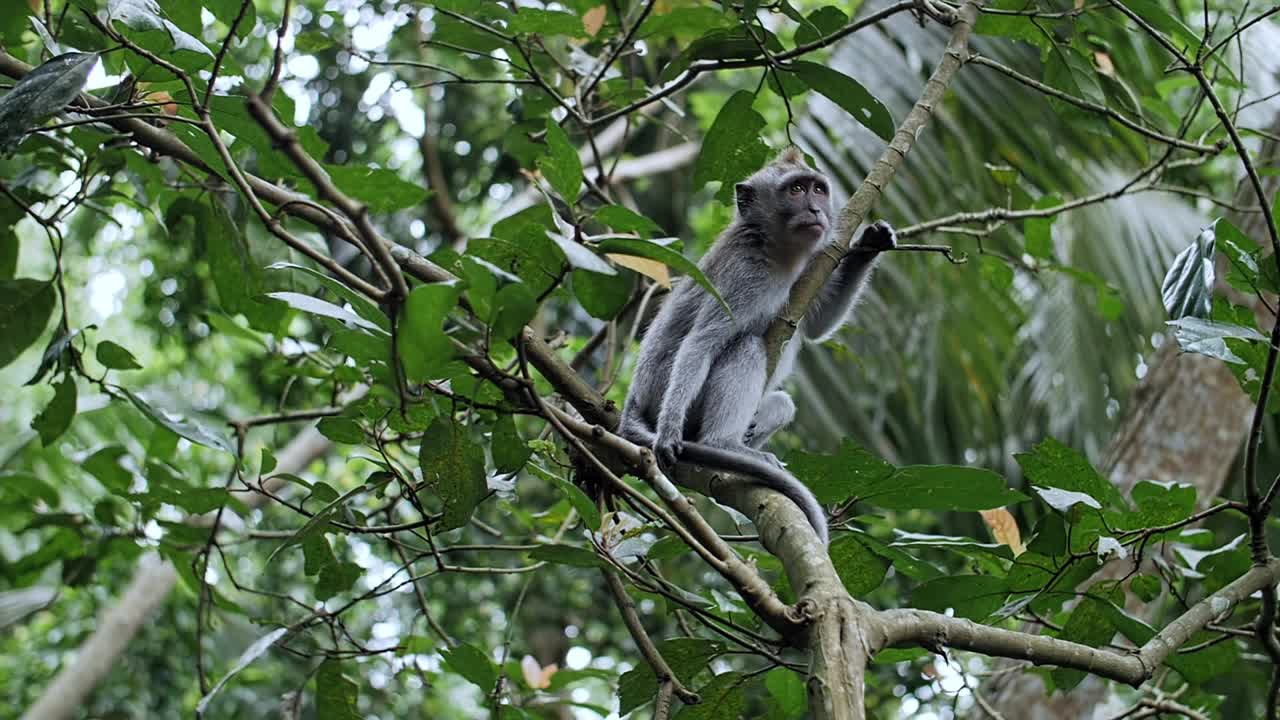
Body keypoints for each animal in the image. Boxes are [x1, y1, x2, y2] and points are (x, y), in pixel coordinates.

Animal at [614, 148, 896, 545]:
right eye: (796, 190)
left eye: (818, 189)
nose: (816, 209)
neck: (774, 249)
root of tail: (634, 400)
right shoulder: (743, 275)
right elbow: (702, 341)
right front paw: (669, 433)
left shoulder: (811, 268)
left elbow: (816, 327)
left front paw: (870, 243)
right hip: (662, 388)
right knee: (744, 345)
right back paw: (721, 443)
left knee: (782, 401)